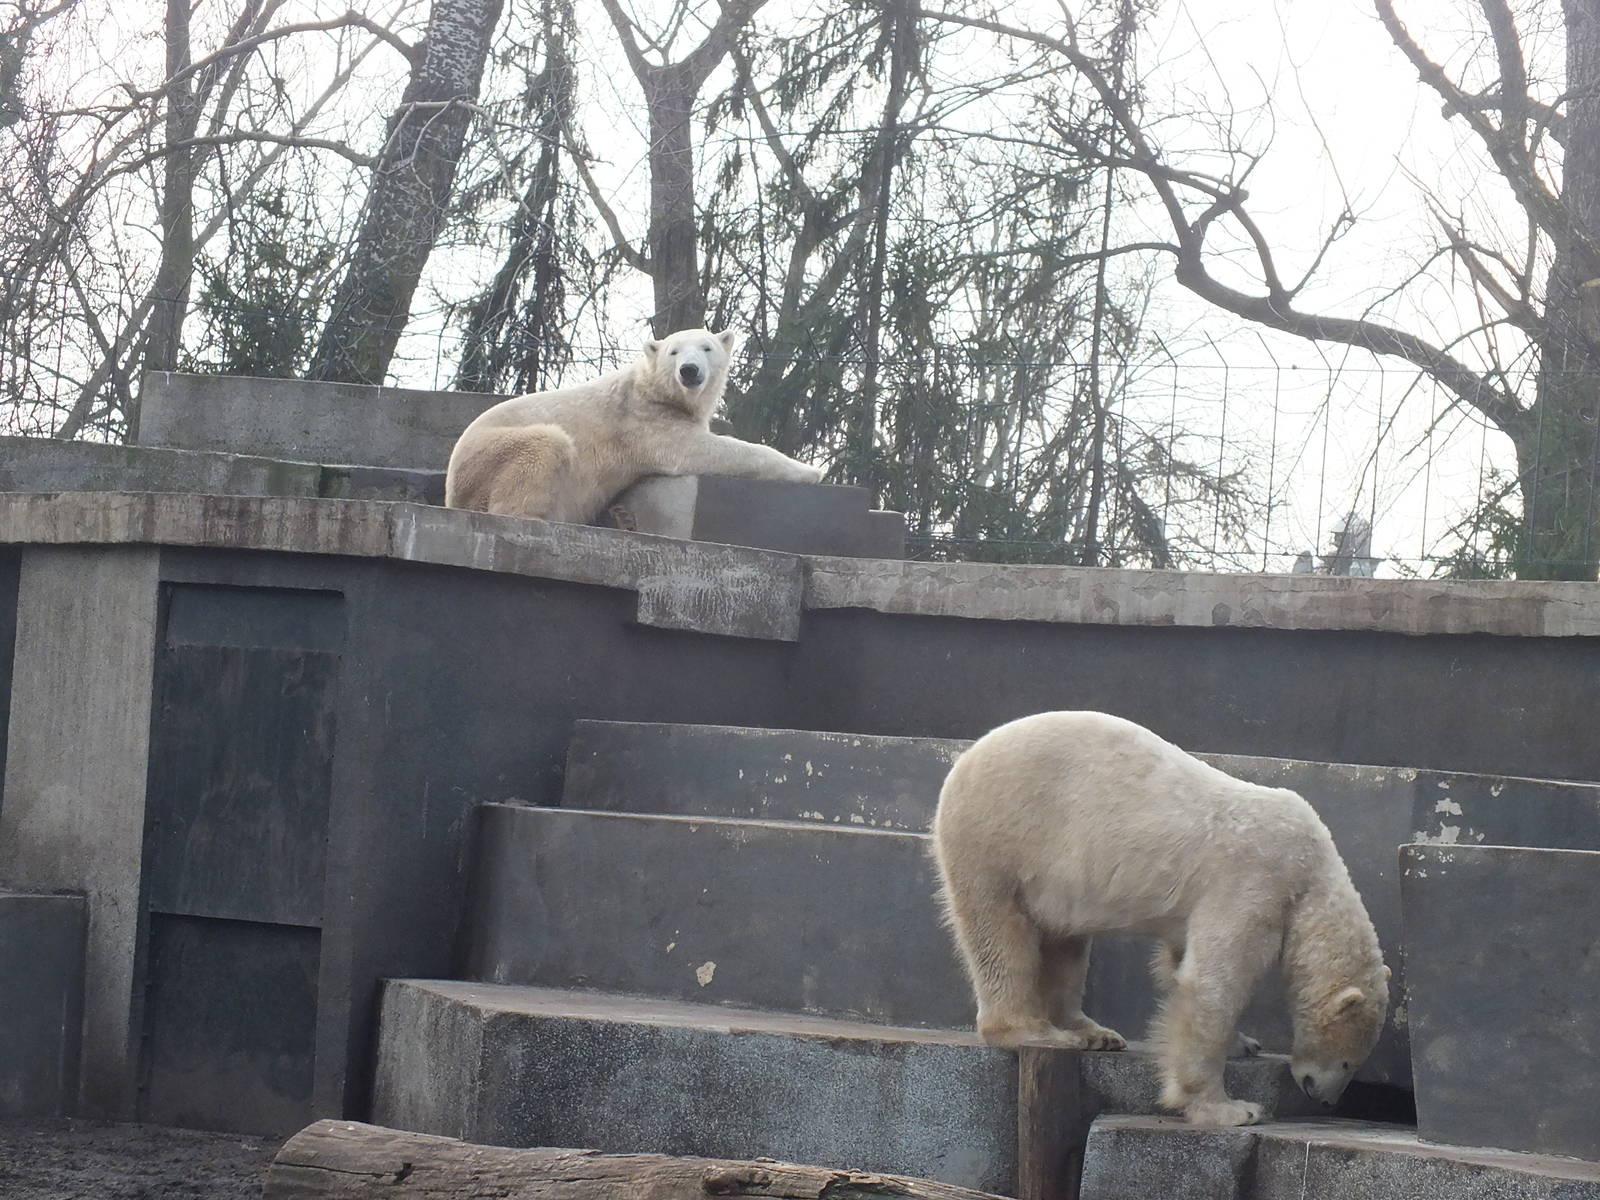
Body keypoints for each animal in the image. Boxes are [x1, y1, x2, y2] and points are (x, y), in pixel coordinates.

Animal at [445, 328, 824, 523]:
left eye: (706, 347)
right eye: (674, 351)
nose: (689, 370)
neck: (652, 388)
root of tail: (451, 492)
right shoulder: (646, 421)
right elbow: (703, 449)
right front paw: (810, 471)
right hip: (488, 457)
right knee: (545, 445)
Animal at [931, 710, 1389, 1127]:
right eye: (1348, 1062)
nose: (1326, 1099)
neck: (1310, 872)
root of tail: (964, 760)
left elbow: (1178, 962)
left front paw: (1243, 1043)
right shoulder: (1254, 879)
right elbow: (1214, 984)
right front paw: (1230, 1109)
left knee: (1066, 943)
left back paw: (1092, 1032)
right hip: (1003, 839)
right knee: (1001, 935)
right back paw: (1038, 1031)